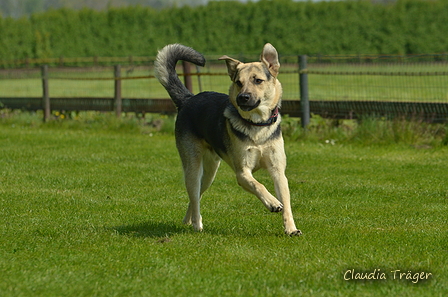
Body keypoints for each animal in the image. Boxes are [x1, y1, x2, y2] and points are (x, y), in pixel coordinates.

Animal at [154, 42, 300, 235]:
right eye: (239, 82)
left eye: (258, 80)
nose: (242, 97)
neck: (257, 125)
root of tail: (188, 99)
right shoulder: (242, 172)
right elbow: (259, 185)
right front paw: (273, 202)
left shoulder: (278, 171)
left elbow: (287, 202)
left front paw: (291, 229)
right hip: (193, 167)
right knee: (194, 195)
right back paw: (197, 224)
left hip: (209, 174)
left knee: (195, 197)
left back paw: (188, 220)